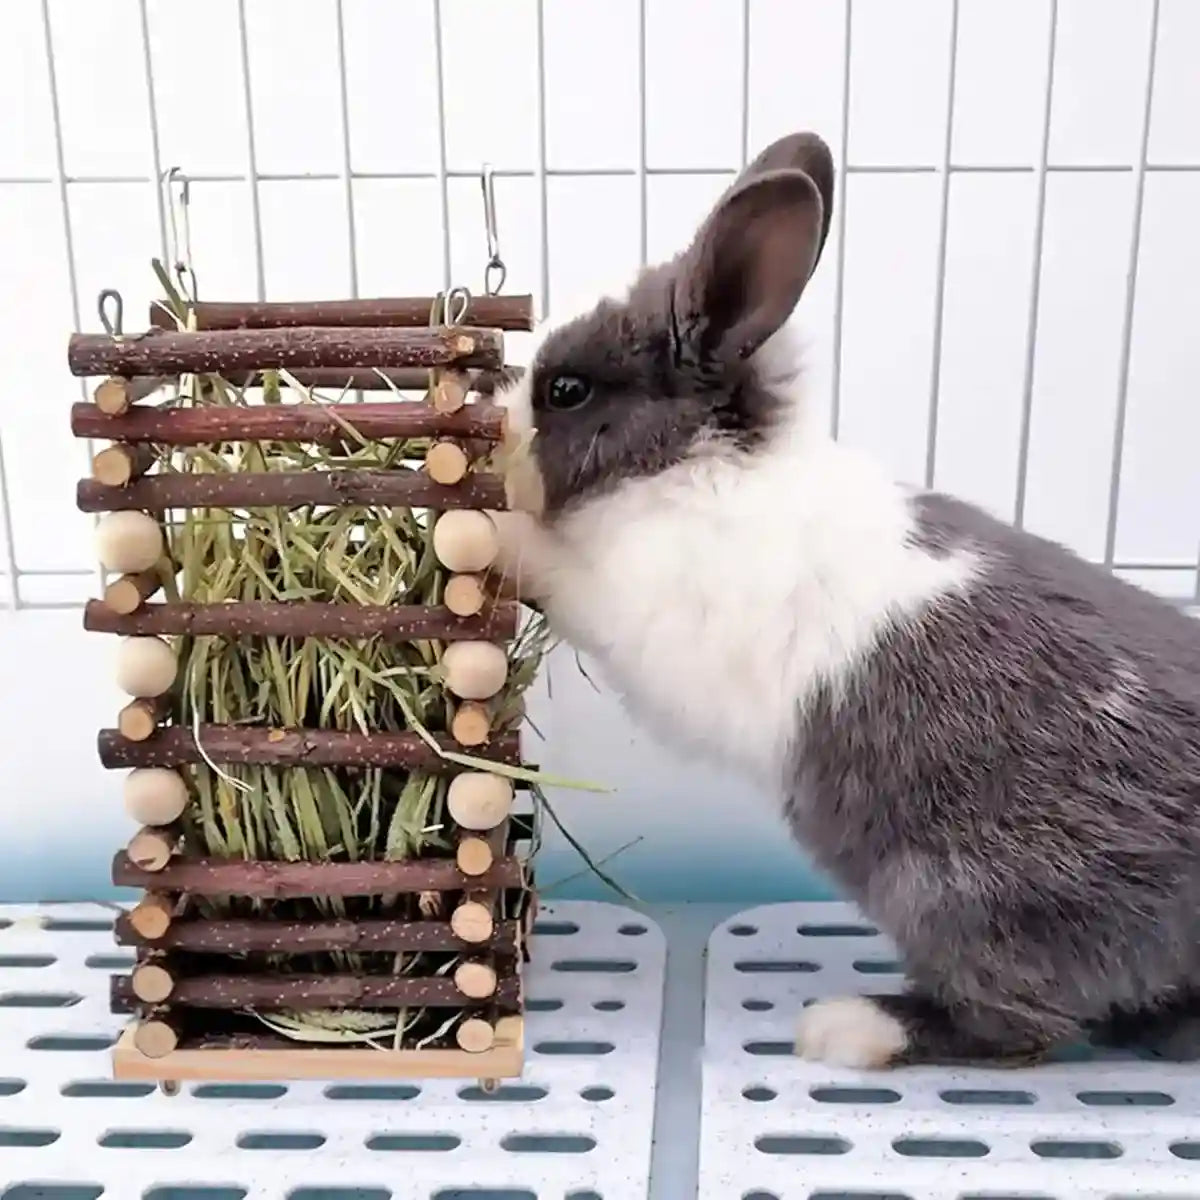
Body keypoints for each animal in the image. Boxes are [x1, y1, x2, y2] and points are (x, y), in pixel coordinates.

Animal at [487, 130, 1200, 1068]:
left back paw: (851, 1029)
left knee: (1021, 1027)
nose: (492, 435)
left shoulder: (633, 602)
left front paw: (482, 524)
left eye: (566, 391)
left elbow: (554, 568)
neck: (683, 465)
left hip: (969, 895)